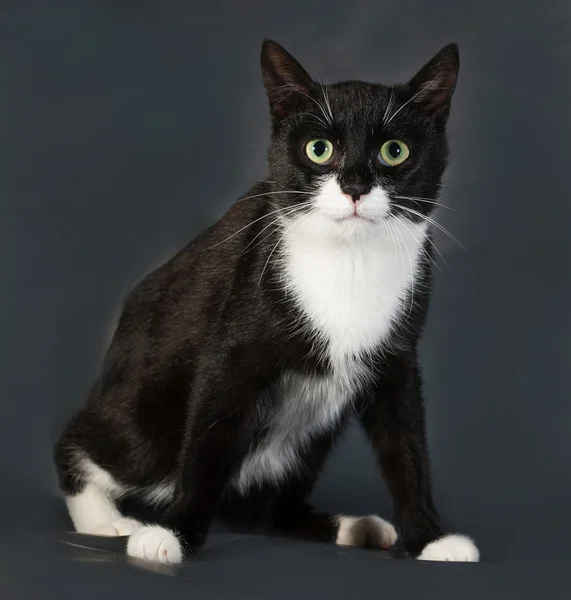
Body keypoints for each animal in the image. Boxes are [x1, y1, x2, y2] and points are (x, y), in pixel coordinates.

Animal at [55, 39, 480, 564]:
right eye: (319, 149)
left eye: (394, 151)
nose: (355, 185)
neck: (349, 261)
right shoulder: (232, 344)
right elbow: (208, 441)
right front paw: (172, 532)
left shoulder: (397, 356)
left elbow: (406, 444)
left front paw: (431, 538)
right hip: (149, 420)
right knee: (92, 443)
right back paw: (103, 520)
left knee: (268, 510)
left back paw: (353, 527)